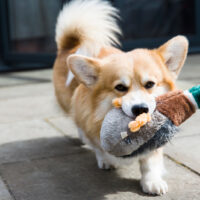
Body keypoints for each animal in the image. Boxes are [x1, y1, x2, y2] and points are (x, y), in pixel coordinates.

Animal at [52, 0, 188, 195]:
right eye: (120, 88)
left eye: (150, 84)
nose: (140, 109)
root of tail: (70, 44)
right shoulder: (89, 121)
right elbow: (98, 146)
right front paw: (105, 160)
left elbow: (150, 162)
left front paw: (152, 181)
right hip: (68, 102)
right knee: (77, 122)